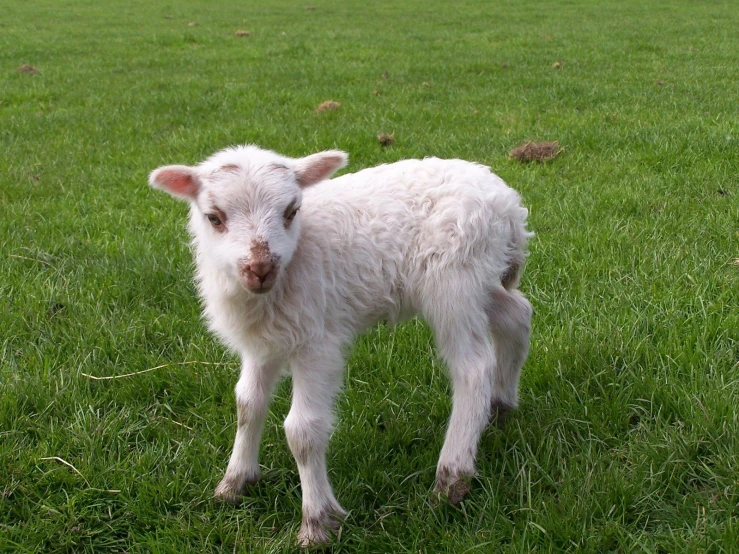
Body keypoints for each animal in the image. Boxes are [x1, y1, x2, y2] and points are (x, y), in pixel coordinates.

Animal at [147, 144, 536, 544]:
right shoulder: (264, 341)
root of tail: (507, 203)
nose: (261, 269)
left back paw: (452, 477)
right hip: (481, 278)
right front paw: (235, 482)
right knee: (517, 314)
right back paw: (500, 406)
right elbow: (247, 404)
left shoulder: (317, 343)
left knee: (473, 367)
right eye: (214, 217)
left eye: (291, 211)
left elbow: (302, 431)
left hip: (454, 280)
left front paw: (318, 522)